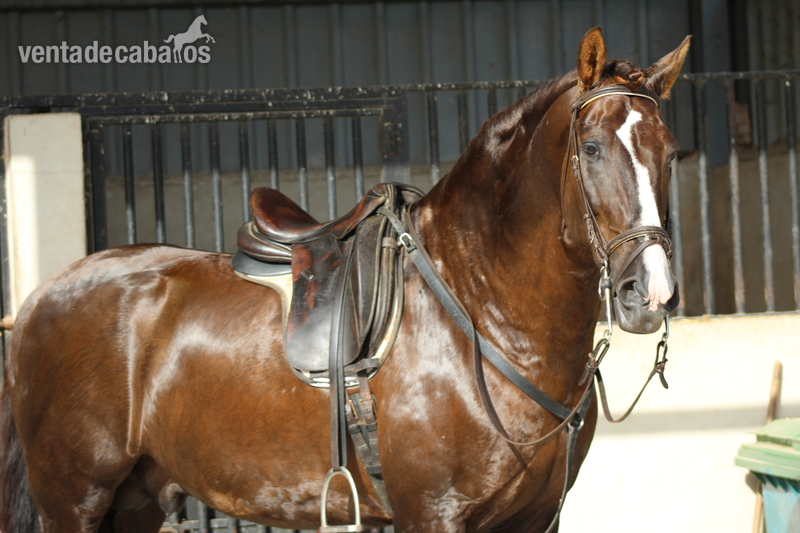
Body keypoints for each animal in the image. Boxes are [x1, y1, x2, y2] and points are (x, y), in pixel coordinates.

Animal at [0, 27, 689, 533]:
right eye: (592, 148)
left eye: (671, 152)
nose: (648, 293)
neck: (479, 311)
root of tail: (38, 300)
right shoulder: (433, 515)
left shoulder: (533, 519)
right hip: (74, 500)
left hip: (135, 501)